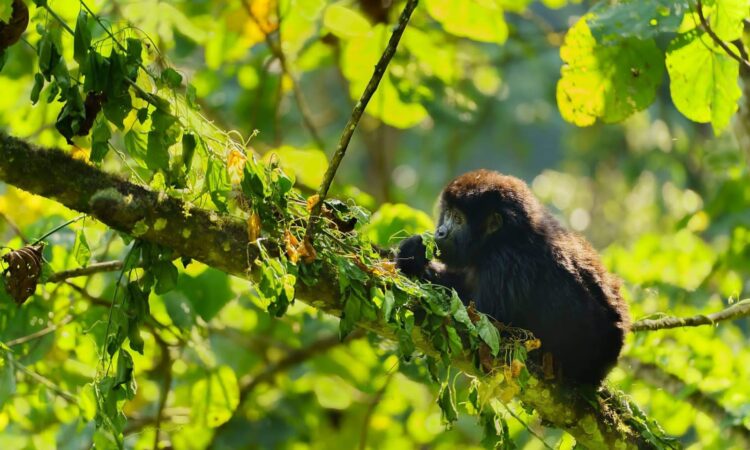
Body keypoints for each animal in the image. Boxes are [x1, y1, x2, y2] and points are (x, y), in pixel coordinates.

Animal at [396, 169, 630, 386]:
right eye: (448, 214)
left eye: (458, 219)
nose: (441, 232)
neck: (501, 237)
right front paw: (412, 255)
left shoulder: (504, 262)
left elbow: (482, 322)